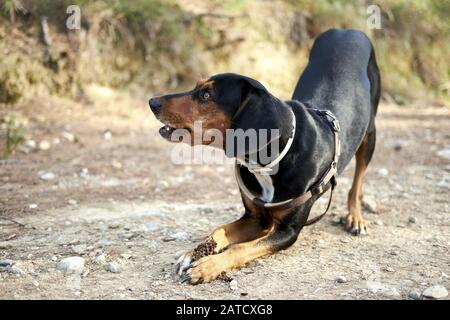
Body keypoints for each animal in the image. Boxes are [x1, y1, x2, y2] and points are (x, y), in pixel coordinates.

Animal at [149, 28, 382, 282]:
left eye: (206, 95)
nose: (152, 102)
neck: (269, 160)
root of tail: (346, 30)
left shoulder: (286, 231)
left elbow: (242, 248)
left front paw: (208, 265)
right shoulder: (255, 218)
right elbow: (220, 229)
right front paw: (193, 253)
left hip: (369, 134)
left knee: (357, 180)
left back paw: (355, 217)